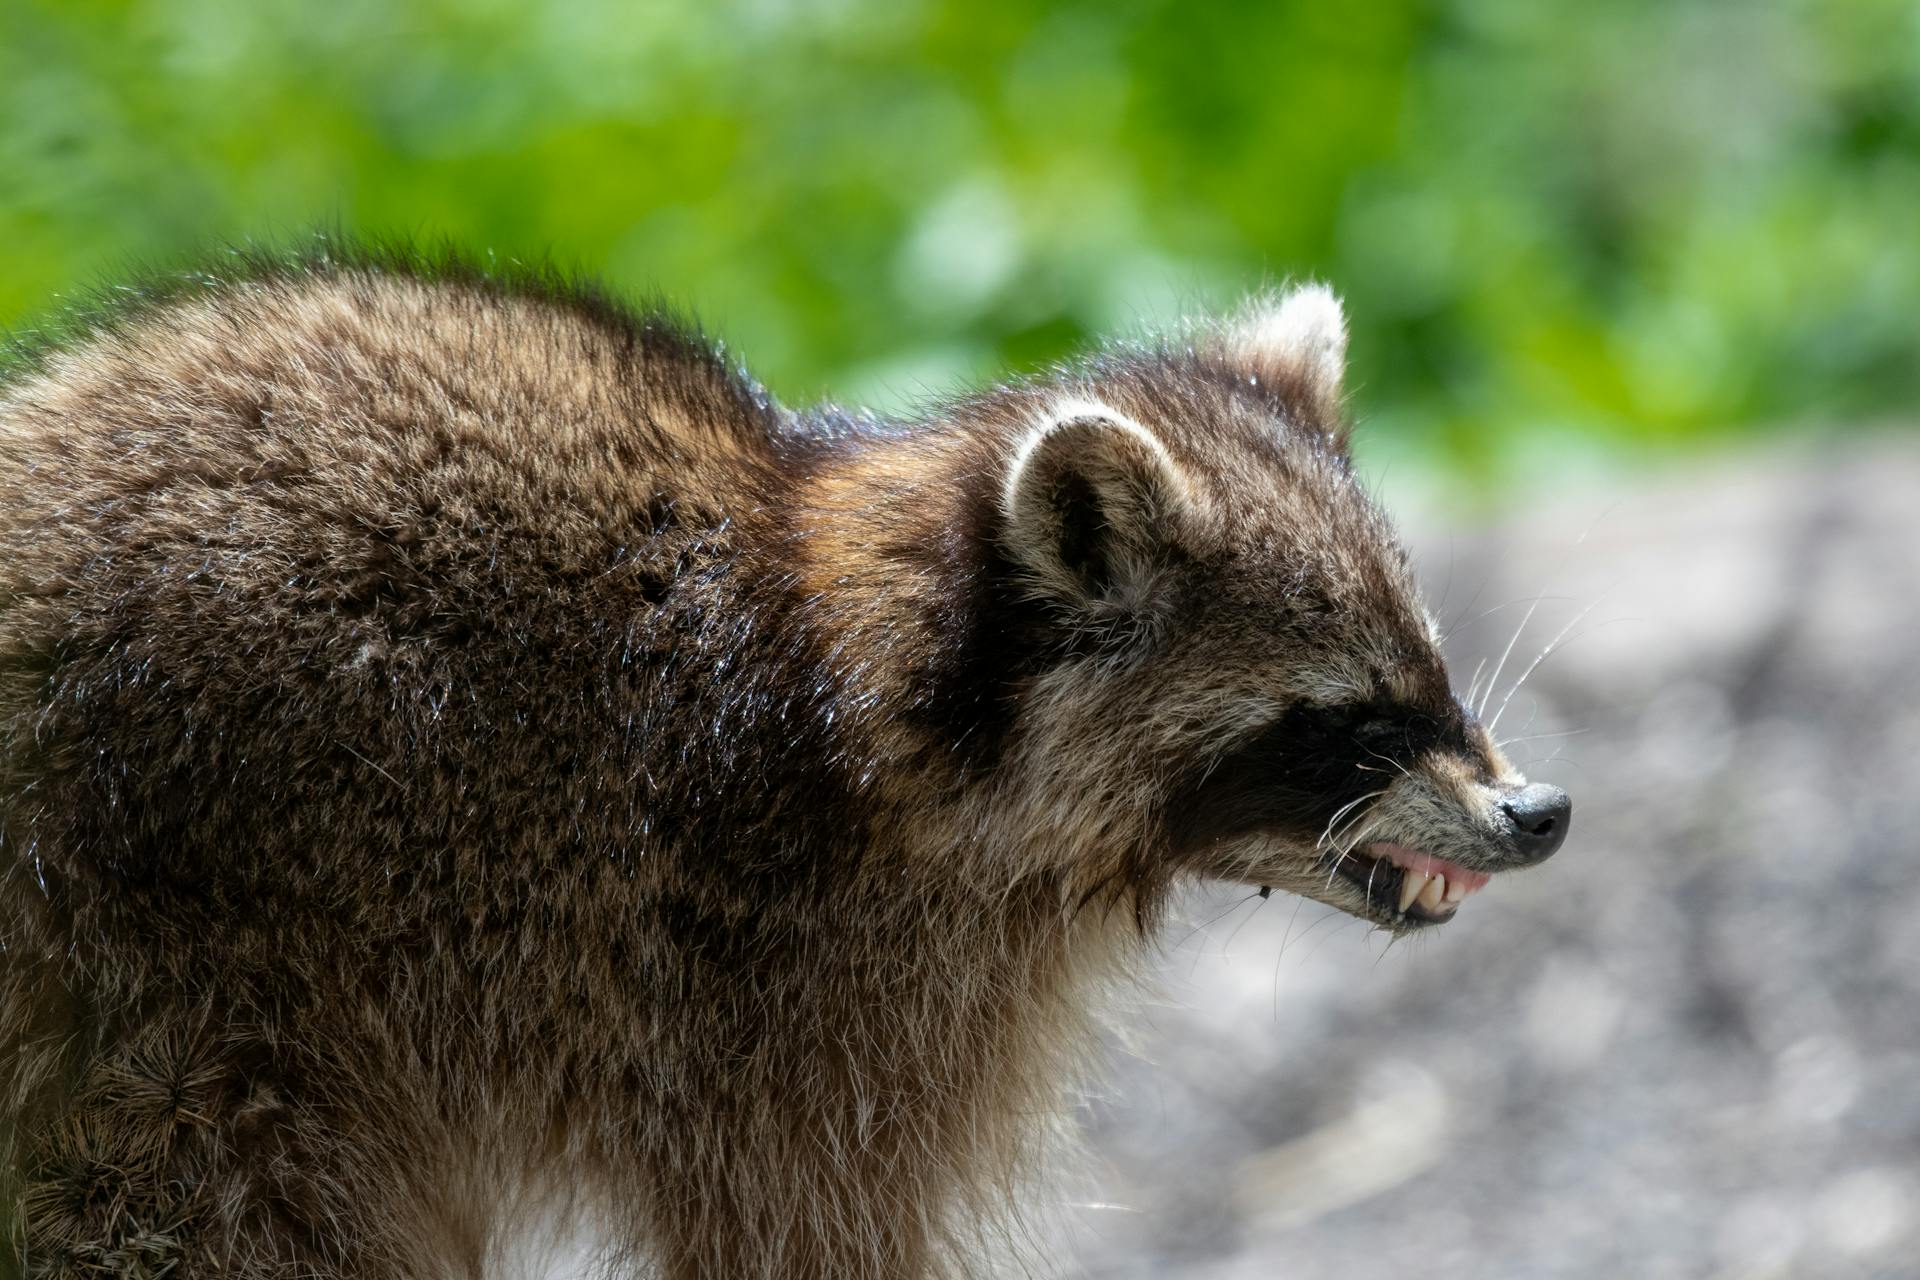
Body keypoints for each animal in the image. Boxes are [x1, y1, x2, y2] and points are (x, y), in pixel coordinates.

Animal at [0, 253, 1559, 1280]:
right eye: (1347, 719)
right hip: (178, 974)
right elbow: (806, 1231)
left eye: (1428, 666)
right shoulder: (779, 990)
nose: (1538, 812)